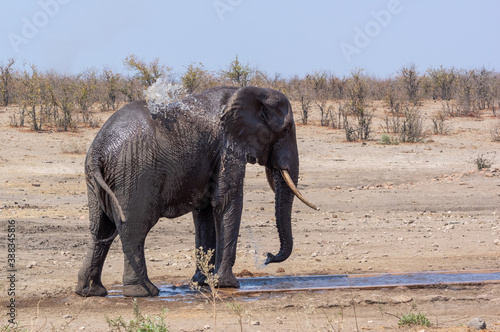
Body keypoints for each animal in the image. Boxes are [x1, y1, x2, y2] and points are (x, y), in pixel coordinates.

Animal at [74, 85, 316, 298]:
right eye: (286, 130)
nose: (267, 257)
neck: (249, 91)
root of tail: (99, 150)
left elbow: (205, 211)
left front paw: (202, 282)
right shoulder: (227, 146)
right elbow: (227, 200)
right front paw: (227, 284)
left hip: (97, 179)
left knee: (100, 230)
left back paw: (91, 292)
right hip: (135, 172)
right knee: (134, 229)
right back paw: (145, 292)